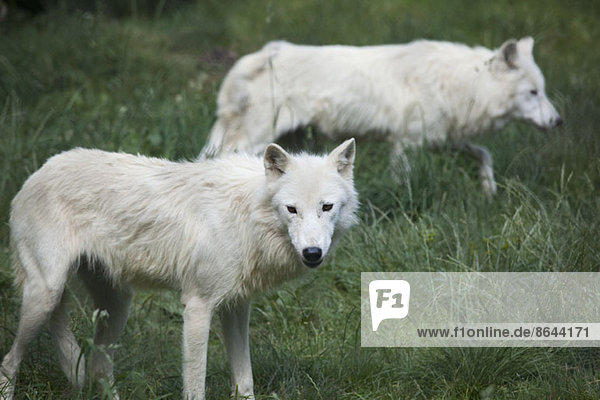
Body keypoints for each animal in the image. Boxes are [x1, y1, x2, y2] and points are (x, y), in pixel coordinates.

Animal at [0, 139, 356, 398]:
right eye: (292, 209)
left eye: (326, 207)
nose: (312, 253)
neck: (246, 214)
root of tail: (35, 174)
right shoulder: (197, 307)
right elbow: (195, 387)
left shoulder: (236, 307)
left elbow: (245, 382)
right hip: (45, 297)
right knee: (8, 362)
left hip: (117, 306)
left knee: (99, 366)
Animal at [202, 36, 564, 195]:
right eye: (533, 92)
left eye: (543, 91)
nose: (559, 122)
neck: (463, 85)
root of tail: (256, 57)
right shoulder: (405, 144)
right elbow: (402, 184)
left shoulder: (441, 139)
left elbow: (484, 154)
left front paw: (489, 193)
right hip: (253, 140)